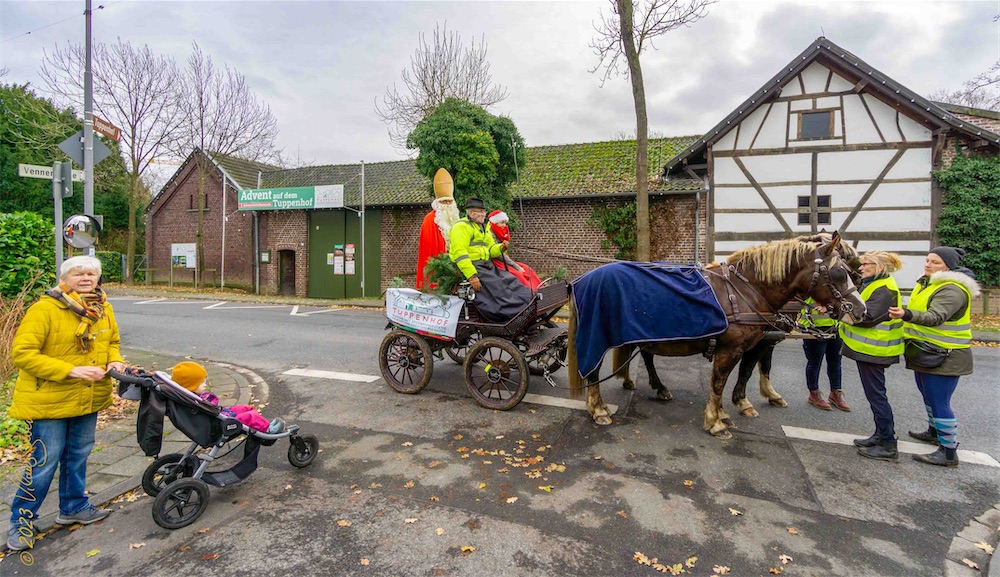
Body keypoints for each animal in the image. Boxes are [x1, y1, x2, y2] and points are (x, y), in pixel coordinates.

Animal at [568, 230, 864, 436]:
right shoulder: (732, 349)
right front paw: (716, 421)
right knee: (593, 370)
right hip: (597, 335)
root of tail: (581, 280)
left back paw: (653, 387)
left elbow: (741, 374)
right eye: (840, 272)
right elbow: (721, 382)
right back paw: (598, 409)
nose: (860, 310)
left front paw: (725, 413)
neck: (745, 290)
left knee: (645, 356)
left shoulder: (753, 344)